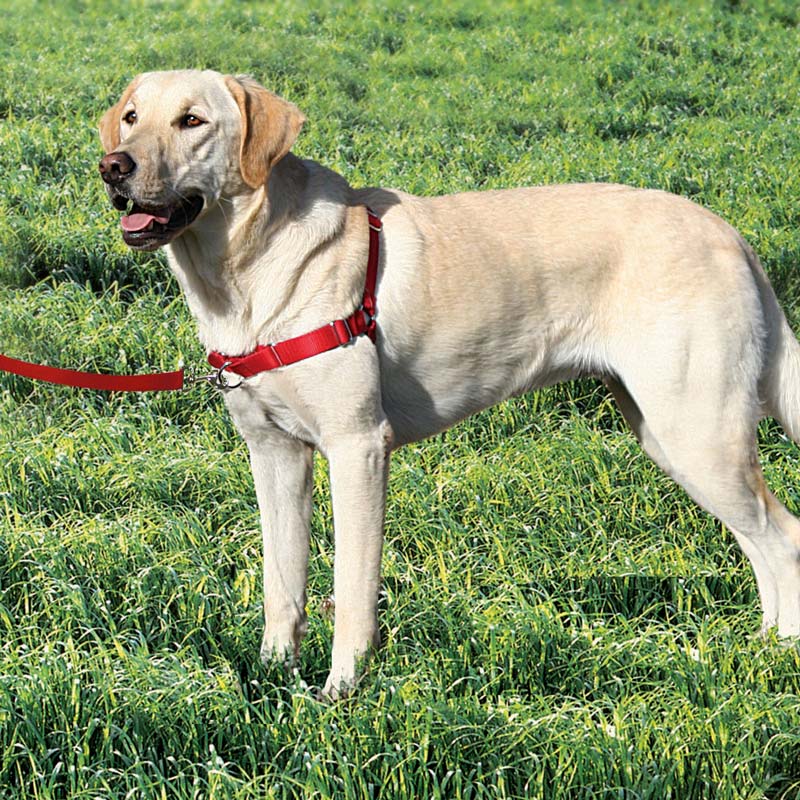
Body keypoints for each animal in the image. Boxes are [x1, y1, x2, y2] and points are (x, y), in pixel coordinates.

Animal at [98, 69, 800, 696]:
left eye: (193, 121)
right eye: (132, 117)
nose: (113, 167)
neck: (244, 270)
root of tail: (732, 235)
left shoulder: (358, 447)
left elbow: (352, 589)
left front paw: (340, 694)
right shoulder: (274, 453)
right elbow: (282, 582)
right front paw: (274, 680)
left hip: (697, 434)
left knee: (784, 539)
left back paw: (778, 662)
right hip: (673, 436)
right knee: (758, 541)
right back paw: (762, 647)